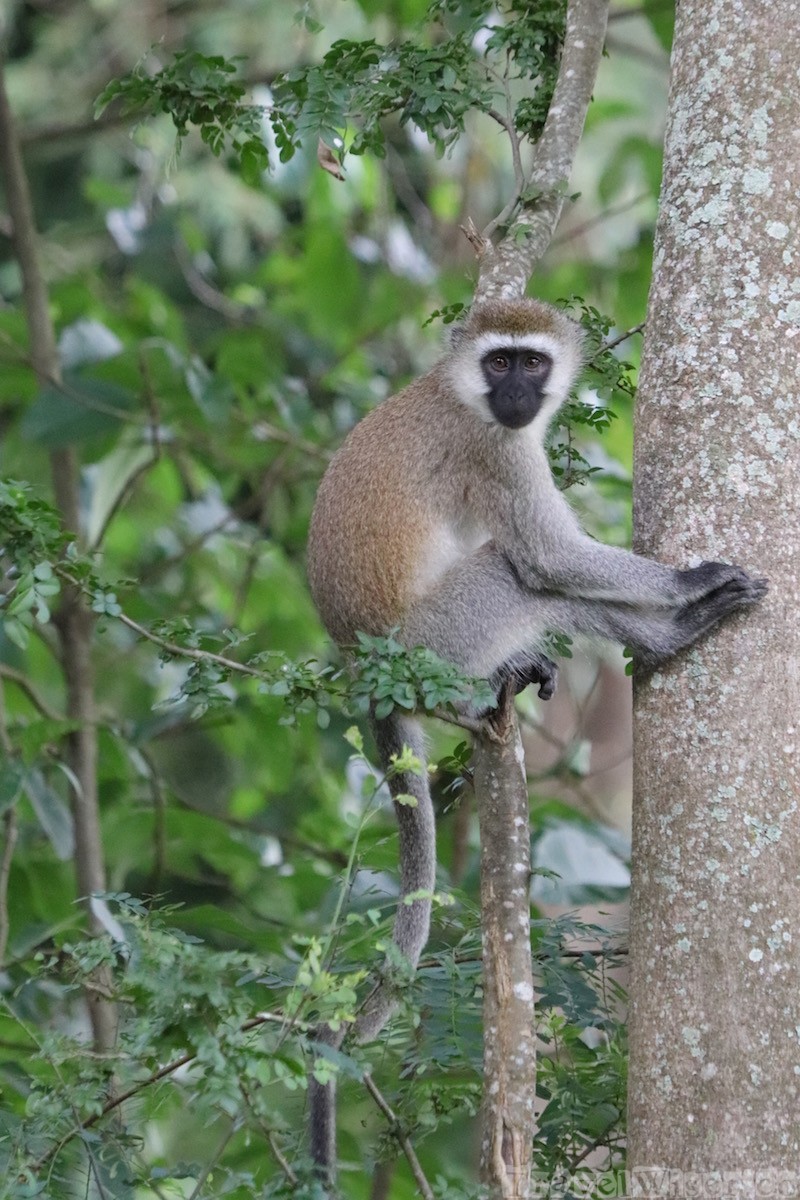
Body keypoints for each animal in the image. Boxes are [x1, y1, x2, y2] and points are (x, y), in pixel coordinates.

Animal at [305, 296, 767, 1184]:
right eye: (499, 364)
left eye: (530, 362)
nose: (518, 394)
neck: (463, 396)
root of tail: (364, 663)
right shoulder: (495, 451)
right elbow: (550, 557)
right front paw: (685, 586)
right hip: (442, 637)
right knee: (521, 572)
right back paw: (667, 634)